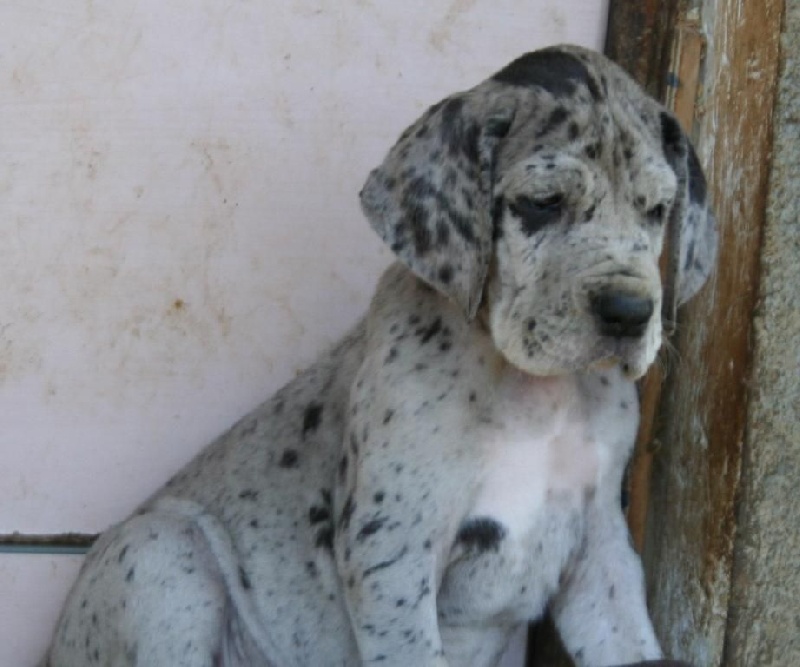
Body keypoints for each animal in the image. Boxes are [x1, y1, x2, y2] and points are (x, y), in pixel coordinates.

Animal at [44, 45, 716, 667]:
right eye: (544, 202)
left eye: (657, 210)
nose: (629, 313)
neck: (534, 391)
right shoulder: (394, 554)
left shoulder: (599, 545)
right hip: (163, 552)